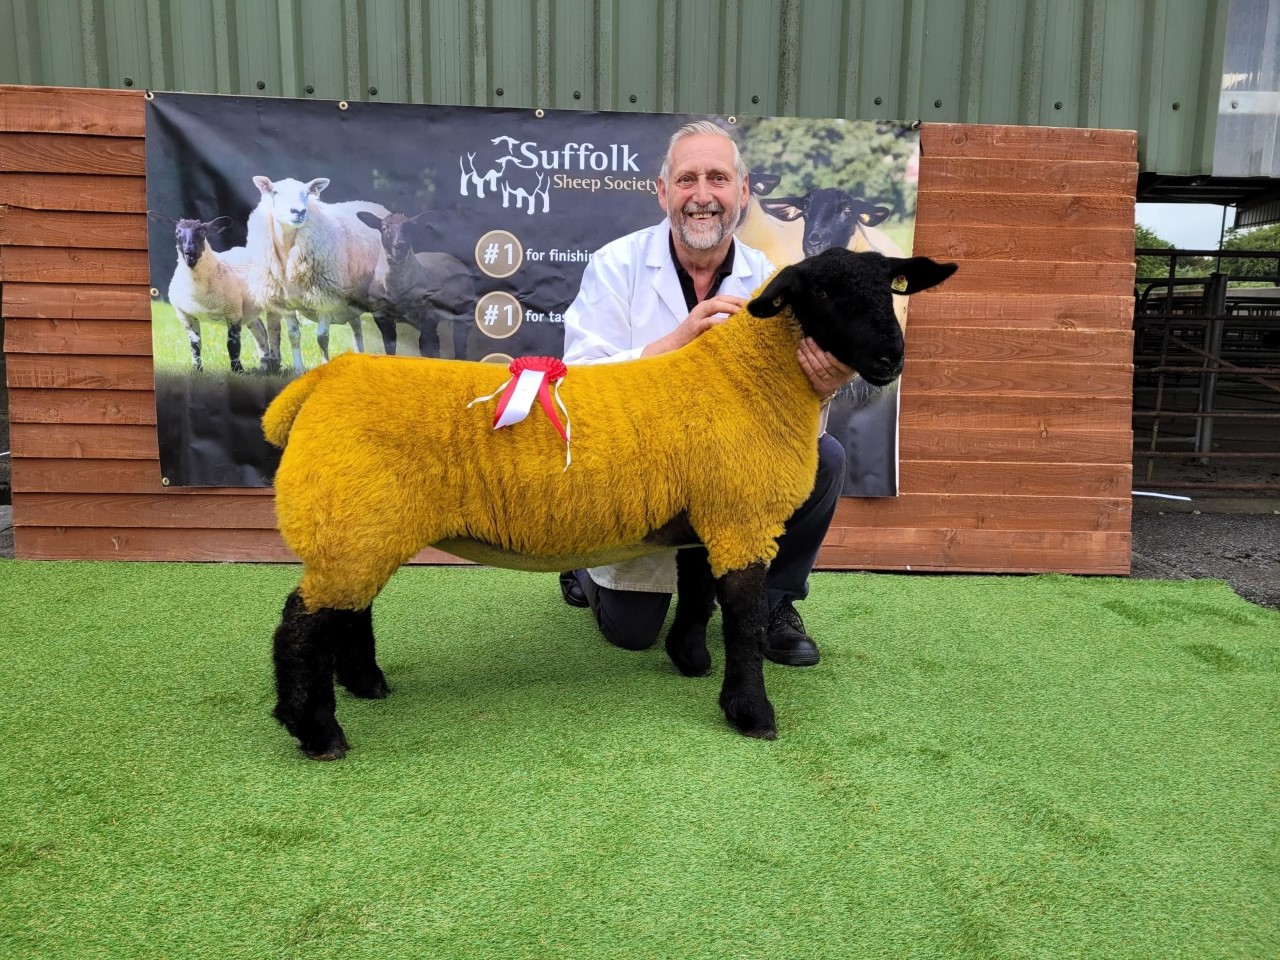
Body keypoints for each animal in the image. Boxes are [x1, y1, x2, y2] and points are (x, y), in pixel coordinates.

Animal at [154, 213, 273, 373]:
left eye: (202, 232)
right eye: (177, 233)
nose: (190, 253)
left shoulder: (233, 312)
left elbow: (232, 344)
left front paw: (238, 371)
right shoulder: (185, 315)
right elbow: (195, 345)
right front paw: (196, 370)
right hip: (249, 309)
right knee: (260, 329)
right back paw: (265, 366)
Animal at [244, 176, 389, 370]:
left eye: (307, 193)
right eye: (275, 192)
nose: (299, 211)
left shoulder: (325, 297)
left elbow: (322, 338)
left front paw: (324, 366)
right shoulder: (285, 304)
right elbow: (293, 335)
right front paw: (298, 369)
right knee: (357, 327)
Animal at [263, 247, 957, 760]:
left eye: (892, 288)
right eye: (827, 294)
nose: (891, 357)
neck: (746, 380)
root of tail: (324, 379)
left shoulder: (707, 518)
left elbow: (699, 595)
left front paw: (691, 661)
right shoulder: (740, 517)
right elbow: (744, 620)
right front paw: (751, 713)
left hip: (362, 519)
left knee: (350, 609)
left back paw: (367, 686)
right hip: (353, 516)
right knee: (303, 623)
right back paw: (317, 731)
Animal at [356, 211, 478, 359]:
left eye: (410, 228)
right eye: (384, 228)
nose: (400, 245)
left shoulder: (428, 320)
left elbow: (430, 352)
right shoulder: (382, 318)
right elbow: (390, 348)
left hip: (464, 312)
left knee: (460, 344)